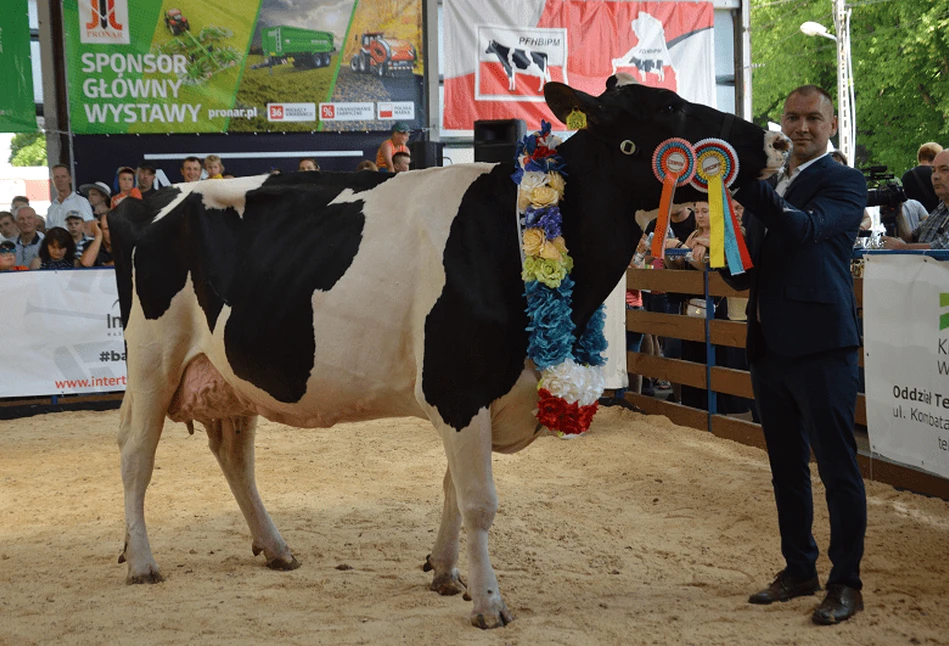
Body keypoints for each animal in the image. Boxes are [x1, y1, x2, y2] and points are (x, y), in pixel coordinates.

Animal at [111, 73, 788, 632]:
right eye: (670, 107)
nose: (777, 141)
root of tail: (155, 200)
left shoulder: (478, 396)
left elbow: (451, 492)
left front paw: (444, 571)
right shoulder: (458, 385)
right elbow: (480, 502)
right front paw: (489, 604)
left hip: (228, 373)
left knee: (234, 456)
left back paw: (276, 549)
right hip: (151, 358)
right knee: (137, 453)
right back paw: (141, 561)